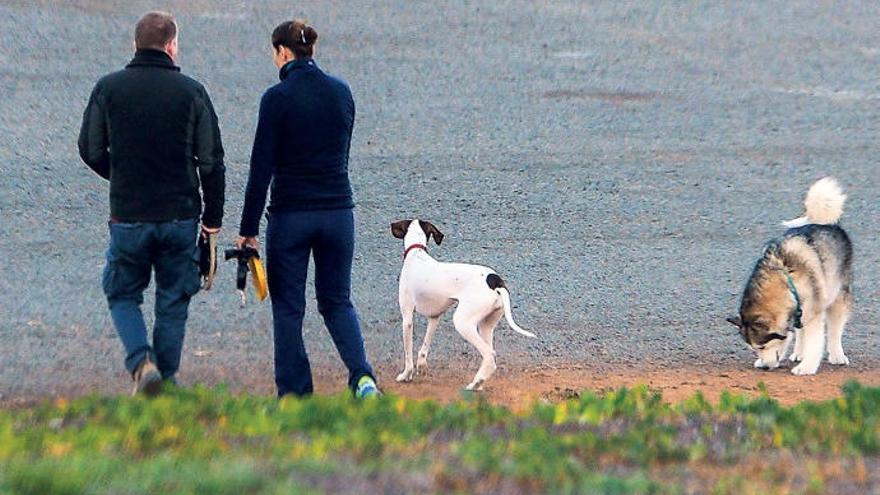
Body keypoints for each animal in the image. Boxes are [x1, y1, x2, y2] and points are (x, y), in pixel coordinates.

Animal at [394, 221, 536, 392]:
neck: (417, 254)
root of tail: (495, 281)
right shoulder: (434, 317)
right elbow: (424, 347)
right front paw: (421, 366)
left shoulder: (407, 318)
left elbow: (408, 354)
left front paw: (406, 375)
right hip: (485, 326)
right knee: (491, 356)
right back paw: (479, 384)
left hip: (463, 323)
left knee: (489, 355)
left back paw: (475, 383)